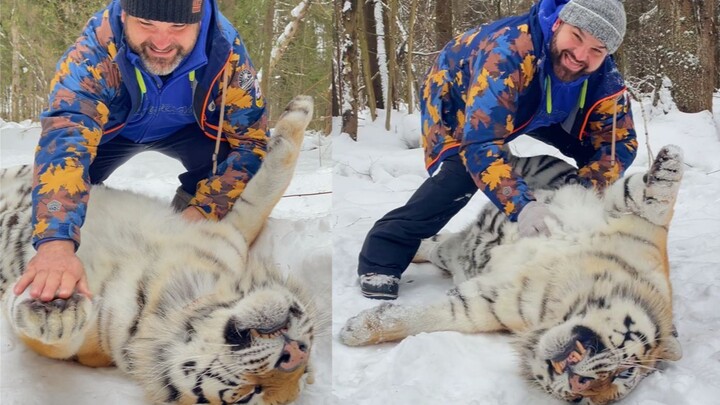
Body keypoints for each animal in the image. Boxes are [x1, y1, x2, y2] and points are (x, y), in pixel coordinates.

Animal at [0, 96, 317, 405]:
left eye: (249, 395)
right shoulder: (228, 232)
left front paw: (54, 313)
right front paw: (300, 110)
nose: (295, 353)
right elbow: (265, 193)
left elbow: (53, 344)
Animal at [340, 145, 684, 405]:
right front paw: (670, 164)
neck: (570, 293)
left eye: (582, 400)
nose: (580, 385)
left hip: (455, 254)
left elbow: (424, 318)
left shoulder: (486, 304)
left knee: (441, 245)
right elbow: (654, 205)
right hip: (537, 170)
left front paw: (357, 328)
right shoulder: (633, 227)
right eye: (624, 371)